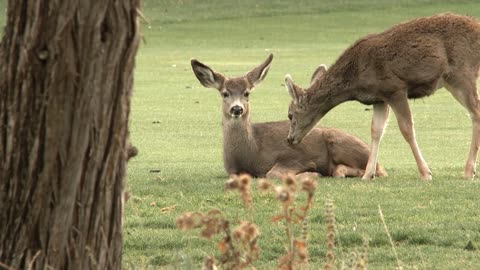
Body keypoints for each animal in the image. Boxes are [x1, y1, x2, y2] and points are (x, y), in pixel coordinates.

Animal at [190, 53, 386, 178]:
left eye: (247, 93)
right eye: (225, 93)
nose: (237, 109)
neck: (252, 152)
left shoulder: (293, 157)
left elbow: (273, 174)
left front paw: (312, 173)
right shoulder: (232, 170)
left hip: (339, 141)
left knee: (378, 170)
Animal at [284, 13, 480, 181]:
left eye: (290, 115)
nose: (290, 139)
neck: (355, 80)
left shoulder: (395, 88)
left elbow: (406, 129)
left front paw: (426, 173)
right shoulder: (379, 98)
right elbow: (376, 130)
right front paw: (367, 175)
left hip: (461, 72)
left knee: (475, 111)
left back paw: (468, 171)